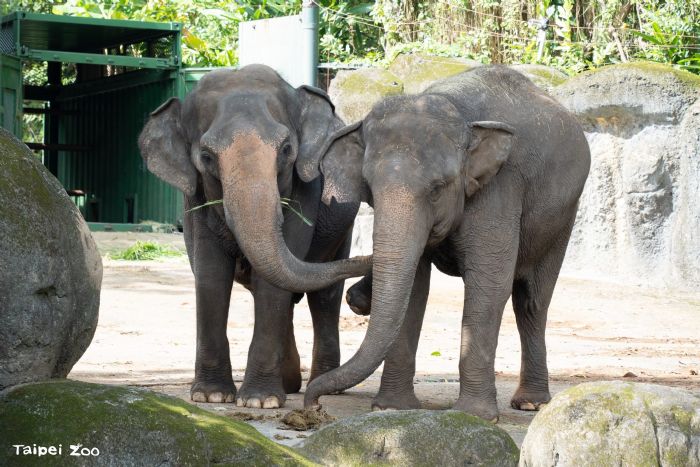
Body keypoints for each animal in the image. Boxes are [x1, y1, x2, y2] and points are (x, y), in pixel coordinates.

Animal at [138, 64, 370, 409]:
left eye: (286, 150)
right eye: (206, 156)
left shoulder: (305, 190)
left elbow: (273, 282)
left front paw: (261, 402)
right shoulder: (193, 197)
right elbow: (211, 273)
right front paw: (211, 396)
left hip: (342, 229)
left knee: (324, 297)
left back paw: (324, 385)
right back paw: (290, 383)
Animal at [296, 65, 591, 421]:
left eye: (437, 189)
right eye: (369, 187)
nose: (313, 406)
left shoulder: (500, 187)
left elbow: (489, 283)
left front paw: (476, 416)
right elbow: (414, 287)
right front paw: (391, 408)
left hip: (563, 216)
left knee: (532, 301)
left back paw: (530, 403)